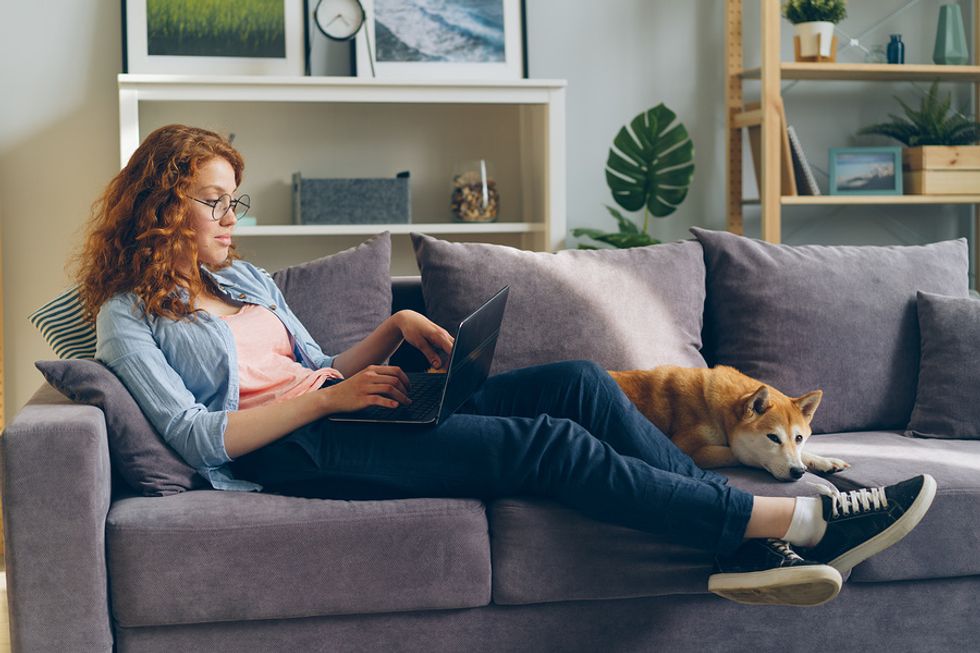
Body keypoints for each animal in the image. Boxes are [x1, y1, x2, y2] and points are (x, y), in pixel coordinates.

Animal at [612, 364, 848, 482]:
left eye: (799, 438)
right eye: (773, 438)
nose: (798, 472)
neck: (714, 409)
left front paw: (823, 461)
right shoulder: (685, 448)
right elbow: (739, 453)